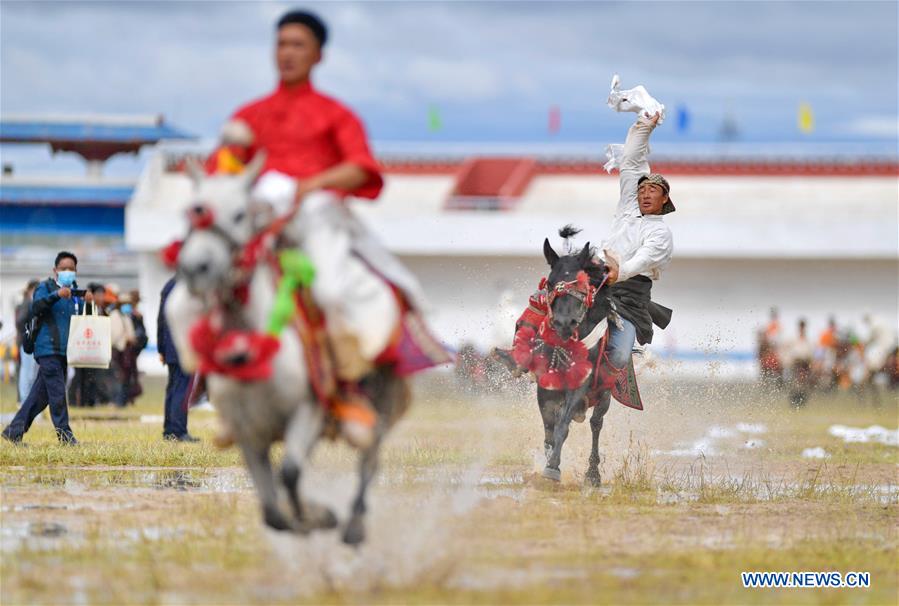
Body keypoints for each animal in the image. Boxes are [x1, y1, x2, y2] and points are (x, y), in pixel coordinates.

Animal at [166, 158, 412, 548]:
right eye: (192, 211)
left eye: (240, 213)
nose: (194, 268)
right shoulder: (248, 432)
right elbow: (273, 509)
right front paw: (308, 516)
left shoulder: (308, 411)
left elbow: (292, 473)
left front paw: (318, 518)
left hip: (381, 397)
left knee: (370, 458)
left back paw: (354, 527)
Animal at [536, 235, 616, 486]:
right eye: (550, 284)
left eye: (582, 285)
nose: (564, 322)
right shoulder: (544, 386)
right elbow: (549, 429)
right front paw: (550, 458)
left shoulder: (581, 383)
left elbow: (562, 426)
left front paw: (552, 468)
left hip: (604, 395)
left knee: (596, 424)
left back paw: (593, 474)